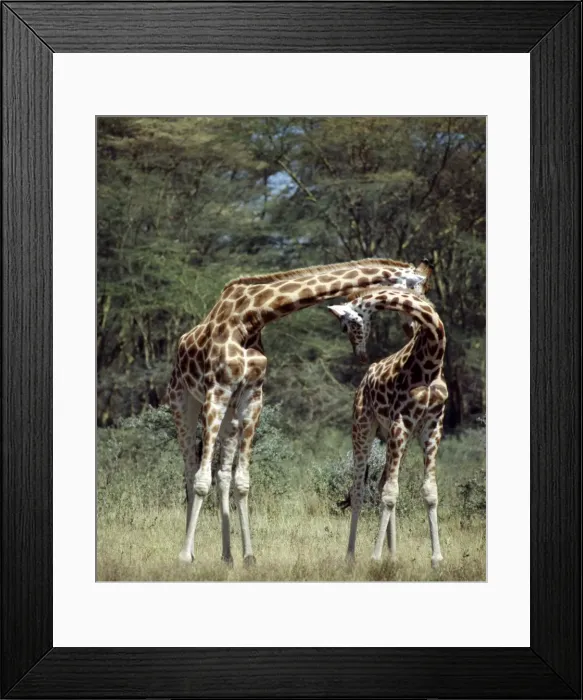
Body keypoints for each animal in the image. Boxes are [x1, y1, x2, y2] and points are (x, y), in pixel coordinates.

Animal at [166, 258, 431, 566]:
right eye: (417, 288)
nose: (415, 324)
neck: (251, 317)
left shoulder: (252, 396)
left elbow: (241, 480)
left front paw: (249, 556)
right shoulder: (217, 390)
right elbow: (200, 479)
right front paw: (185, 556)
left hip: (230, 416)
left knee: (222, 475)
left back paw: (227, 556)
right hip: (183, 402)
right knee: (190, 470)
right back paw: (191, 551)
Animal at [327, 263, 448, 568]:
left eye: (346, 325)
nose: (359, 355)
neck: (431, 361)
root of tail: (362, 382)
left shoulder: (432, 426)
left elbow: (429, 491)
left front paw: (437, 559)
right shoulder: (400, 422)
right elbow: (390, 493)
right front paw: (374, 557)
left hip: (395, 437)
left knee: (381, 482)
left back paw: (393, 555)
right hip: (363, 428)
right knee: (359, 490)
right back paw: (351, 556)